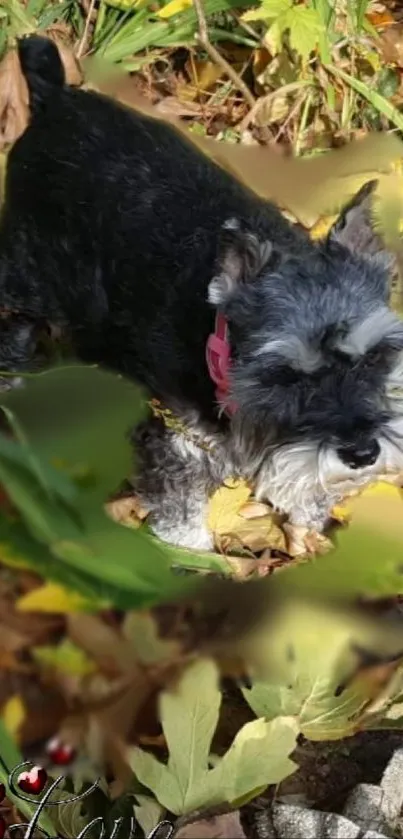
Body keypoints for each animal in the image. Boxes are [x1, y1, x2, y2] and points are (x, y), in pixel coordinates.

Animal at [0, 36, 403, 552]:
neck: (214, 337)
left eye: (377, 357)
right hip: (27, 275)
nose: (361, 452)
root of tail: (56, 99)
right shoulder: (178, 441)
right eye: (285, 376)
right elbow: (181, 508)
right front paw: (188, 554)